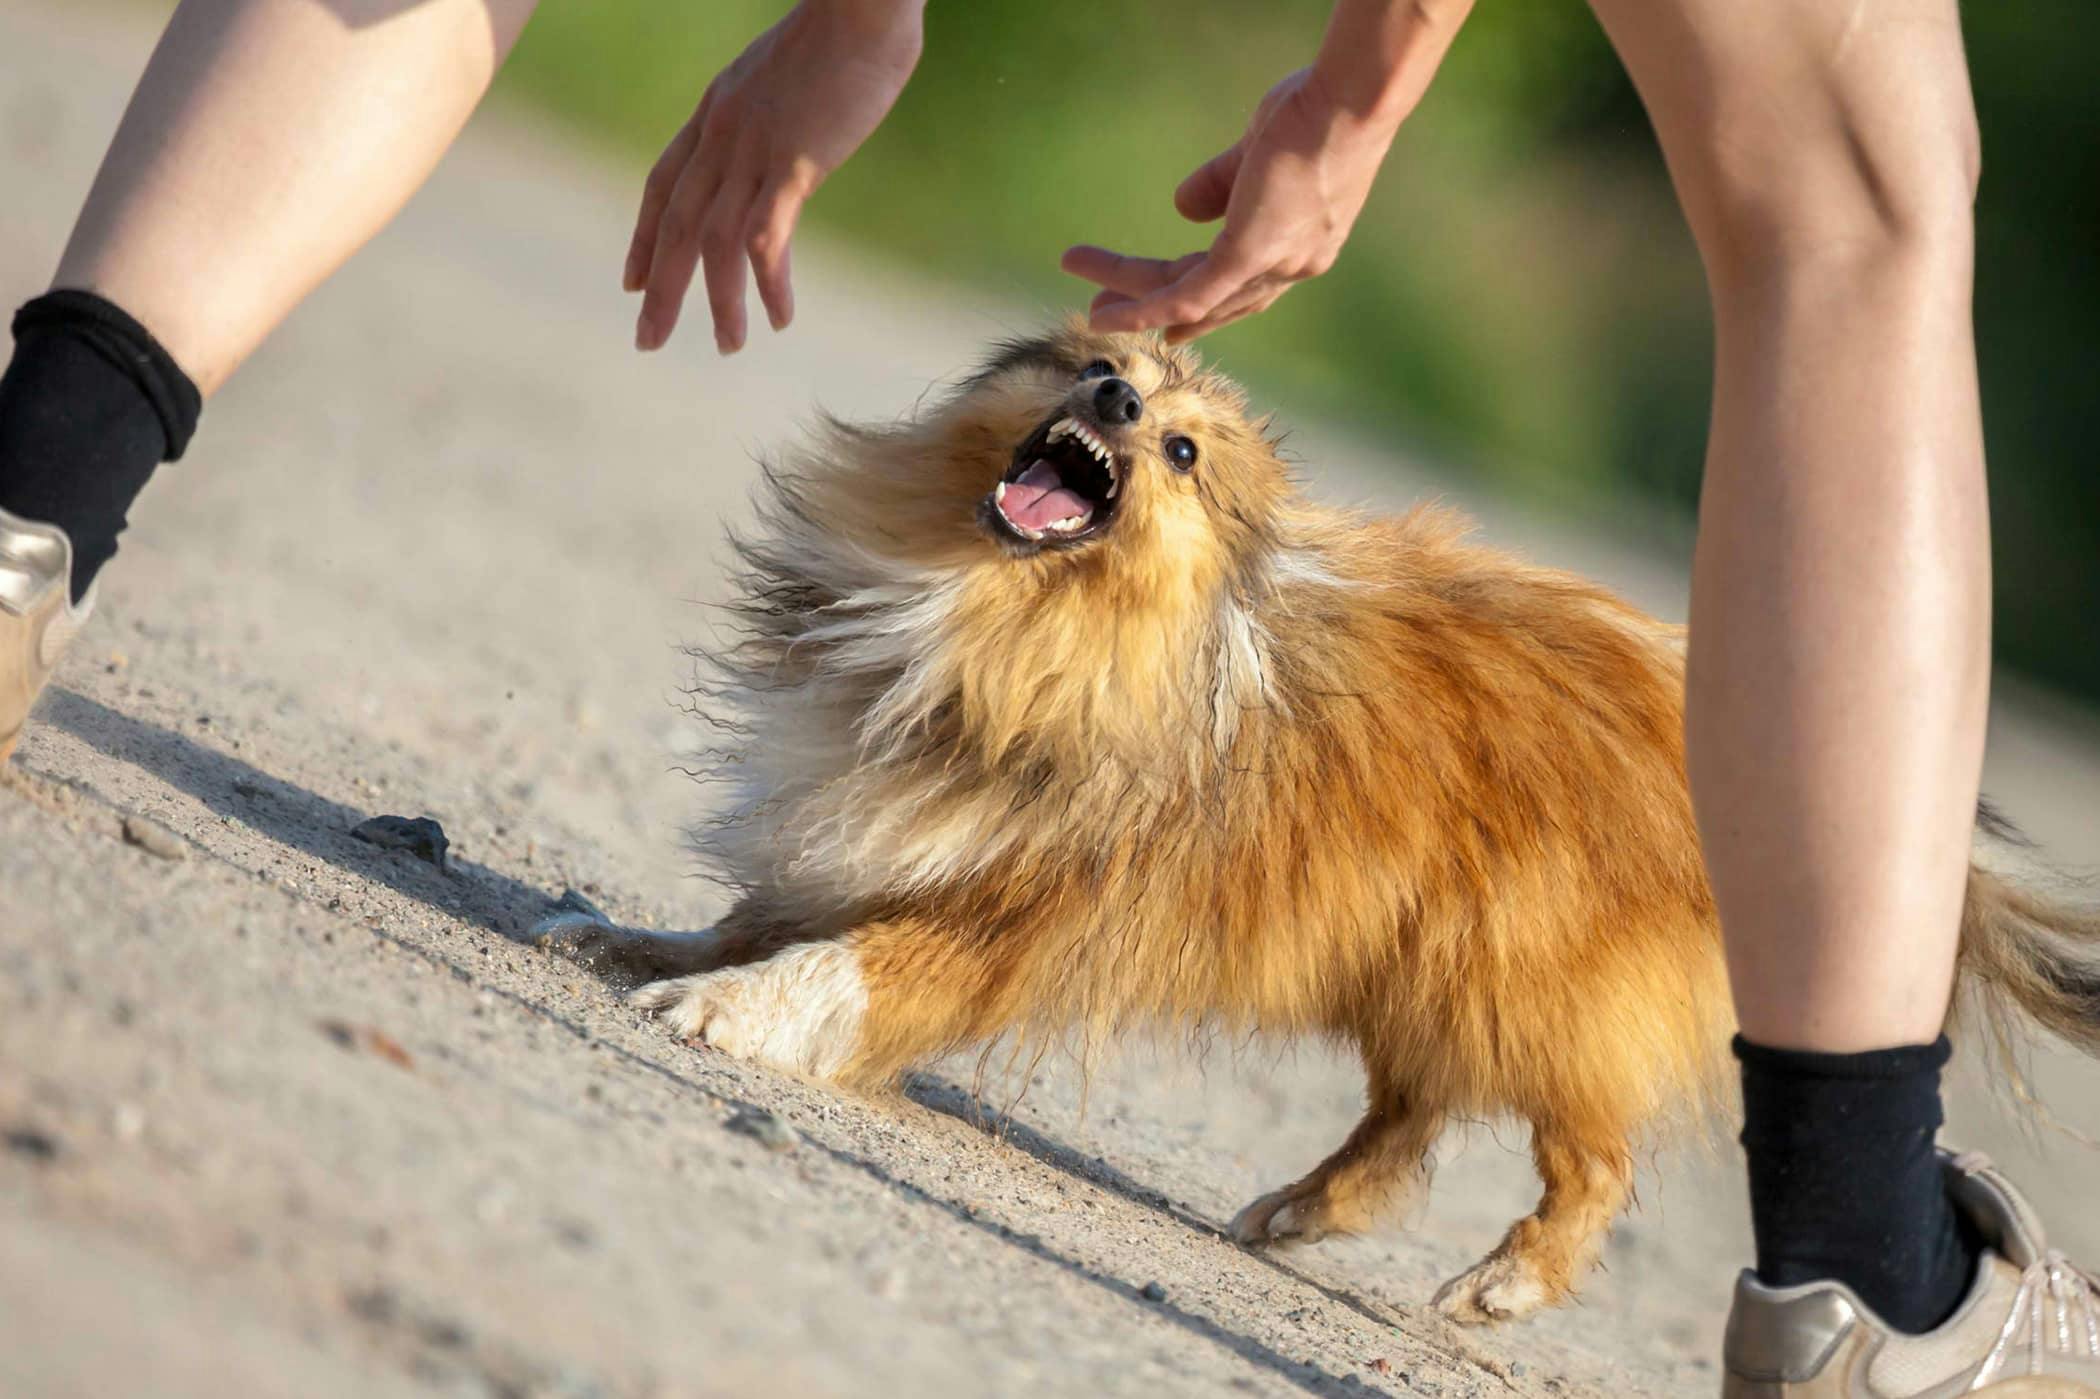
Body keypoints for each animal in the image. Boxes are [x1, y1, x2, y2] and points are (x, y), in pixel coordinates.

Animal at [541, 323, 2100, 1319]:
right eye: (1098, 367)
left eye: (1182, 451)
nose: (1115, 406)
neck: (1004, 622)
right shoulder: (874, 817)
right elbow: (763, 908)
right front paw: (645, 944)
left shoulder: (1016, 910)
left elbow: (847, 965)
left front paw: (727, 1012)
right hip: (1425, 960)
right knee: (1408, 1120)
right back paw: (1302, 1210)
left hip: (1522, 976)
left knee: (1590, 1154)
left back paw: (1504, 1280)